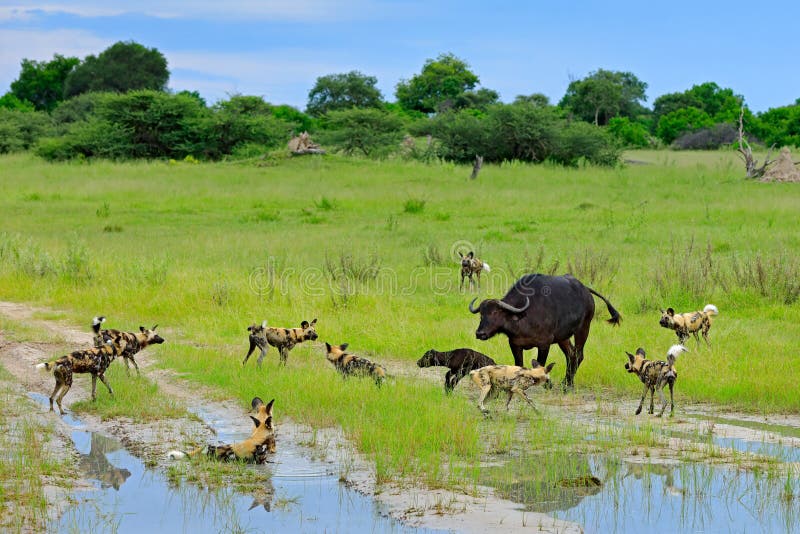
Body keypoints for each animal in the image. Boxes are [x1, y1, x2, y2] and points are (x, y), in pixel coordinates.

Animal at [468, 276, 620, 390]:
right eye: (481, 314)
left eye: (495, 312)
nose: (480, 333)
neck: (525, 315)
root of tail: (585, 290)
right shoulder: (515, 344)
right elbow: (519, 364)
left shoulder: (544, 344)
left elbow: (541, 364)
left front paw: (546, 384)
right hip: (562, 337)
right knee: (570, 354)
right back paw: (566, 382)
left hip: (583, 328)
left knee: (578, 355)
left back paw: (568, 384)